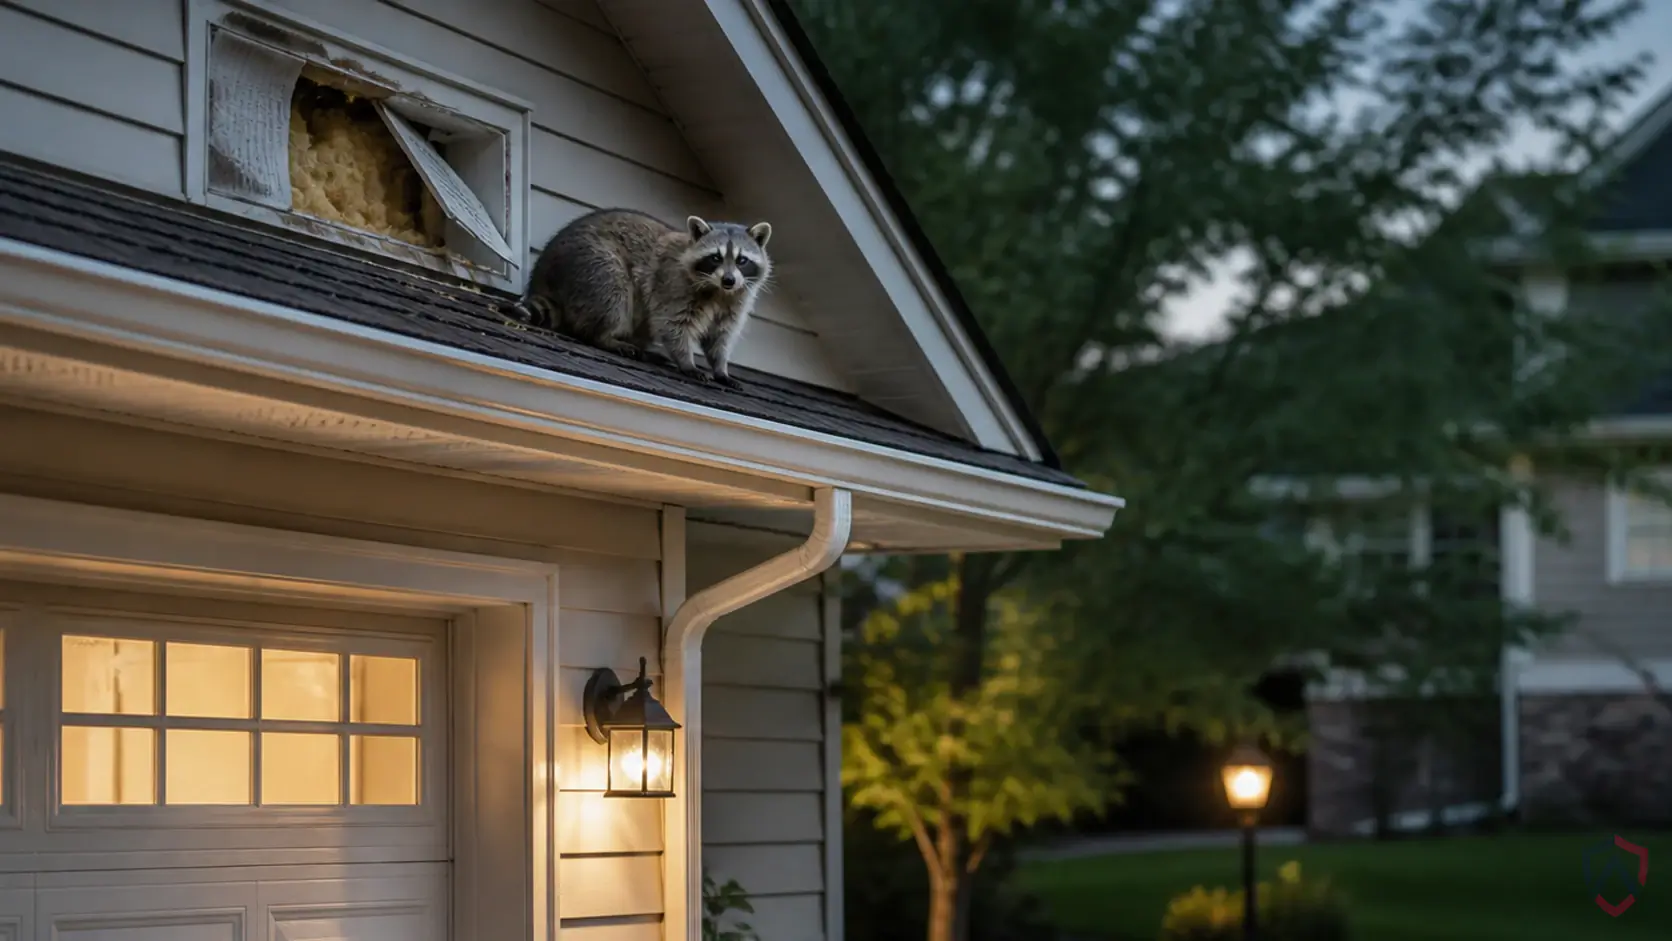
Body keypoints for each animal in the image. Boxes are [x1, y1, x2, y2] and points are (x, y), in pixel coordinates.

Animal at [506, 208, 773, 388]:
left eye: (742, 260)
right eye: (715, 258)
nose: (729, 279)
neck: (719, 291)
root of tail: (543, 272)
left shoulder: (736, 300)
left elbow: (720, 336)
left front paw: (720, 367)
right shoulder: (673, 285)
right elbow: (673, 325)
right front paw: (686, 361)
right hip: (591, 264)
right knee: (614, 294)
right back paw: (605, 337)